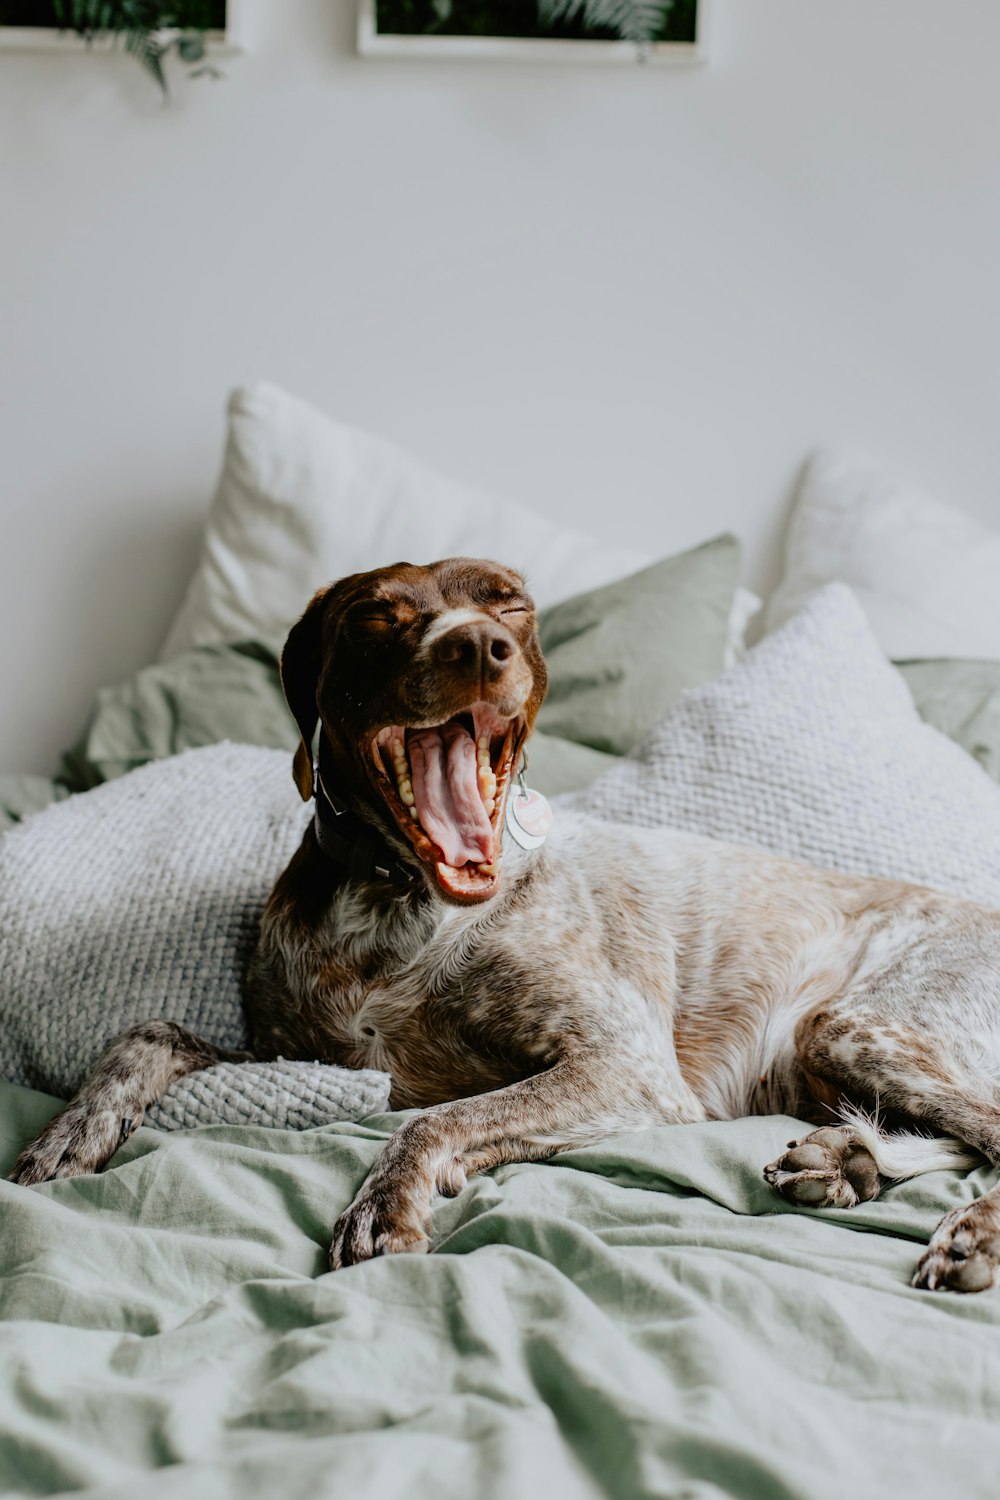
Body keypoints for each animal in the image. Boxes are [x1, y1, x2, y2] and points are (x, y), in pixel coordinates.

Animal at [11, 558, 1000, 1296]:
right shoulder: (298, 1056)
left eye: (511, 605)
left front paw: (383, 1204)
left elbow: (433, 1121)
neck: (395, 908)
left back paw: (967, 1231)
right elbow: (147, 1033)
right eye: (375, 617)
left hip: (849, 1023)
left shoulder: (625, 1067)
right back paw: (846, 1160)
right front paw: (67, 1134)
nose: (480, 648)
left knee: (987, 1133)